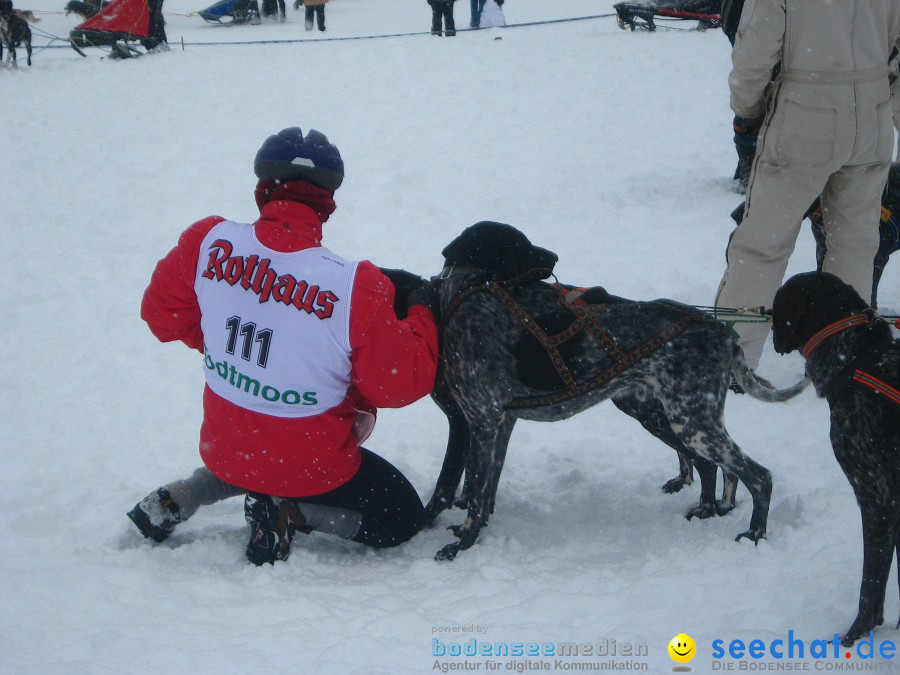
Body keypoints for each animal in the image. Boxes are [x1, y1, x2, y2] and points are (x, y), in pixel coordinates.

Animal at [398, 224, 804, 564]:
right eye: (521, 246)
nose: (554, 257)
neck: (460, 295)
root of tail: (718, 329)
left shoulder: (480, 422)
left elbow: (472, 493)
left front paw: (460, 545)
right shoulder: (498, 423)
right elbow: (484, 491)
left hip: (691, 423)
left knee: (758, 475)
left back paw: (755, 533)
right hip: (667, 417)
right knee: (717, 467)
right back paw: (711, 509)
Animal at [768, 272, 896, 648]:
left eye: (778, 302)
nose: (766, 316)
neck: (854, 360)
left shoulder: (878, 499)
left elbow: (870, 587)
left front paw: (852, 638)